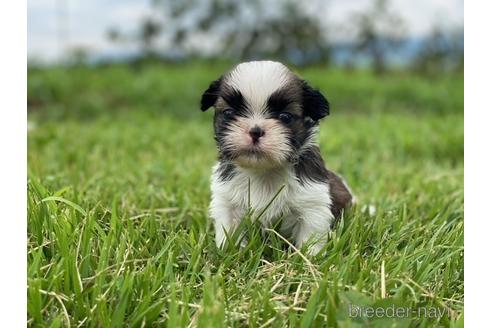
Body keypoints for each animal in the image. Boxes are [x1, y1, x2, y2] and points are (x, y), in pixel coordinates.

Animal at [200, 60, 354, 254]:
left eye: (285, 116)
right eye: (228, 113)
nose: (255, 131)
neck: (264, 172)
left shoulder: (313, 205)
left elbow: (310, 237)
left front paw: (308, 258)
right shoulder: (227, 203)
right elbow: (230, 232)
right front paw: (230, 254)